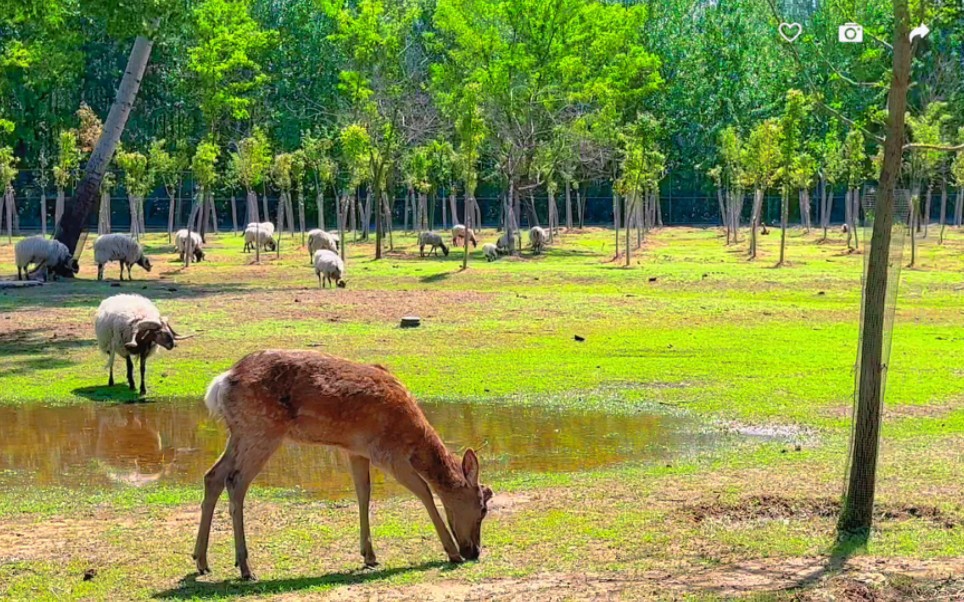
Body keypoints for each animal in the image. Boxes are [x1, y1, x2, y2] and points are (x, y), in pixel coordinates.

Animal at [193, 350, 494, 580]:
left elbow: (363, 493)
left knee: (212, 475)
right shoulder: (388, 453)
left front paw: (369, 556)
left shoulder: (356, 450)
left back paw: (201, 561)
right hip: (263, 430)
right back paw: (245, 567)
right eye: (482, 509)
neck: (413, 435)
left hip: (240, 433)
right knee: (235, 481)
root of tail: (221, 383)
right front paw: (451, 552)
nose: (475, 552)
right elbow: (425, 491)